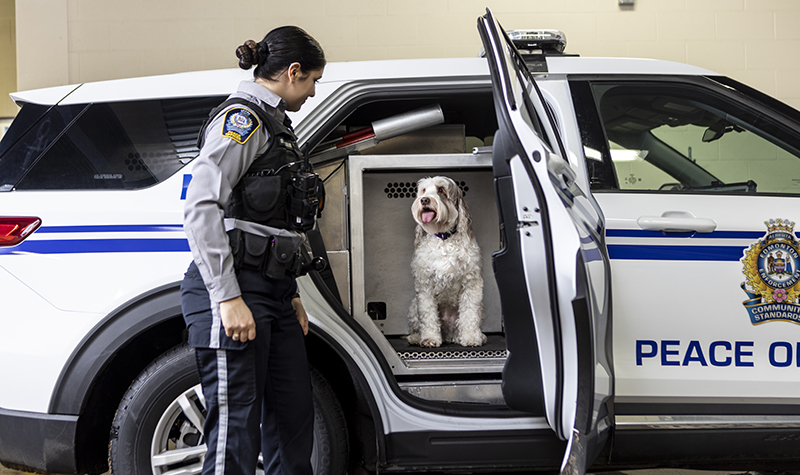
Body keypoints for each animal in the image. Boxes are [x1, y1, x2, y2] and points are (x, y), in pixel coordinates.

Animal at [406, 177, 488, 348]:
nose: (424, 200)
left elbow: (470, 314)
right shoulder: (425, 285)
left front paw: (471, 338)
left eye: (441, 190)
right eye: (423, 190)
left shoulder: (471, 282)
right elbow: (428, 315)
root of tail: (448, 335)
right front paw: (429, 339)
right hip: (413, 306)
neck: (443, 237)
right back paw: (415, 338)